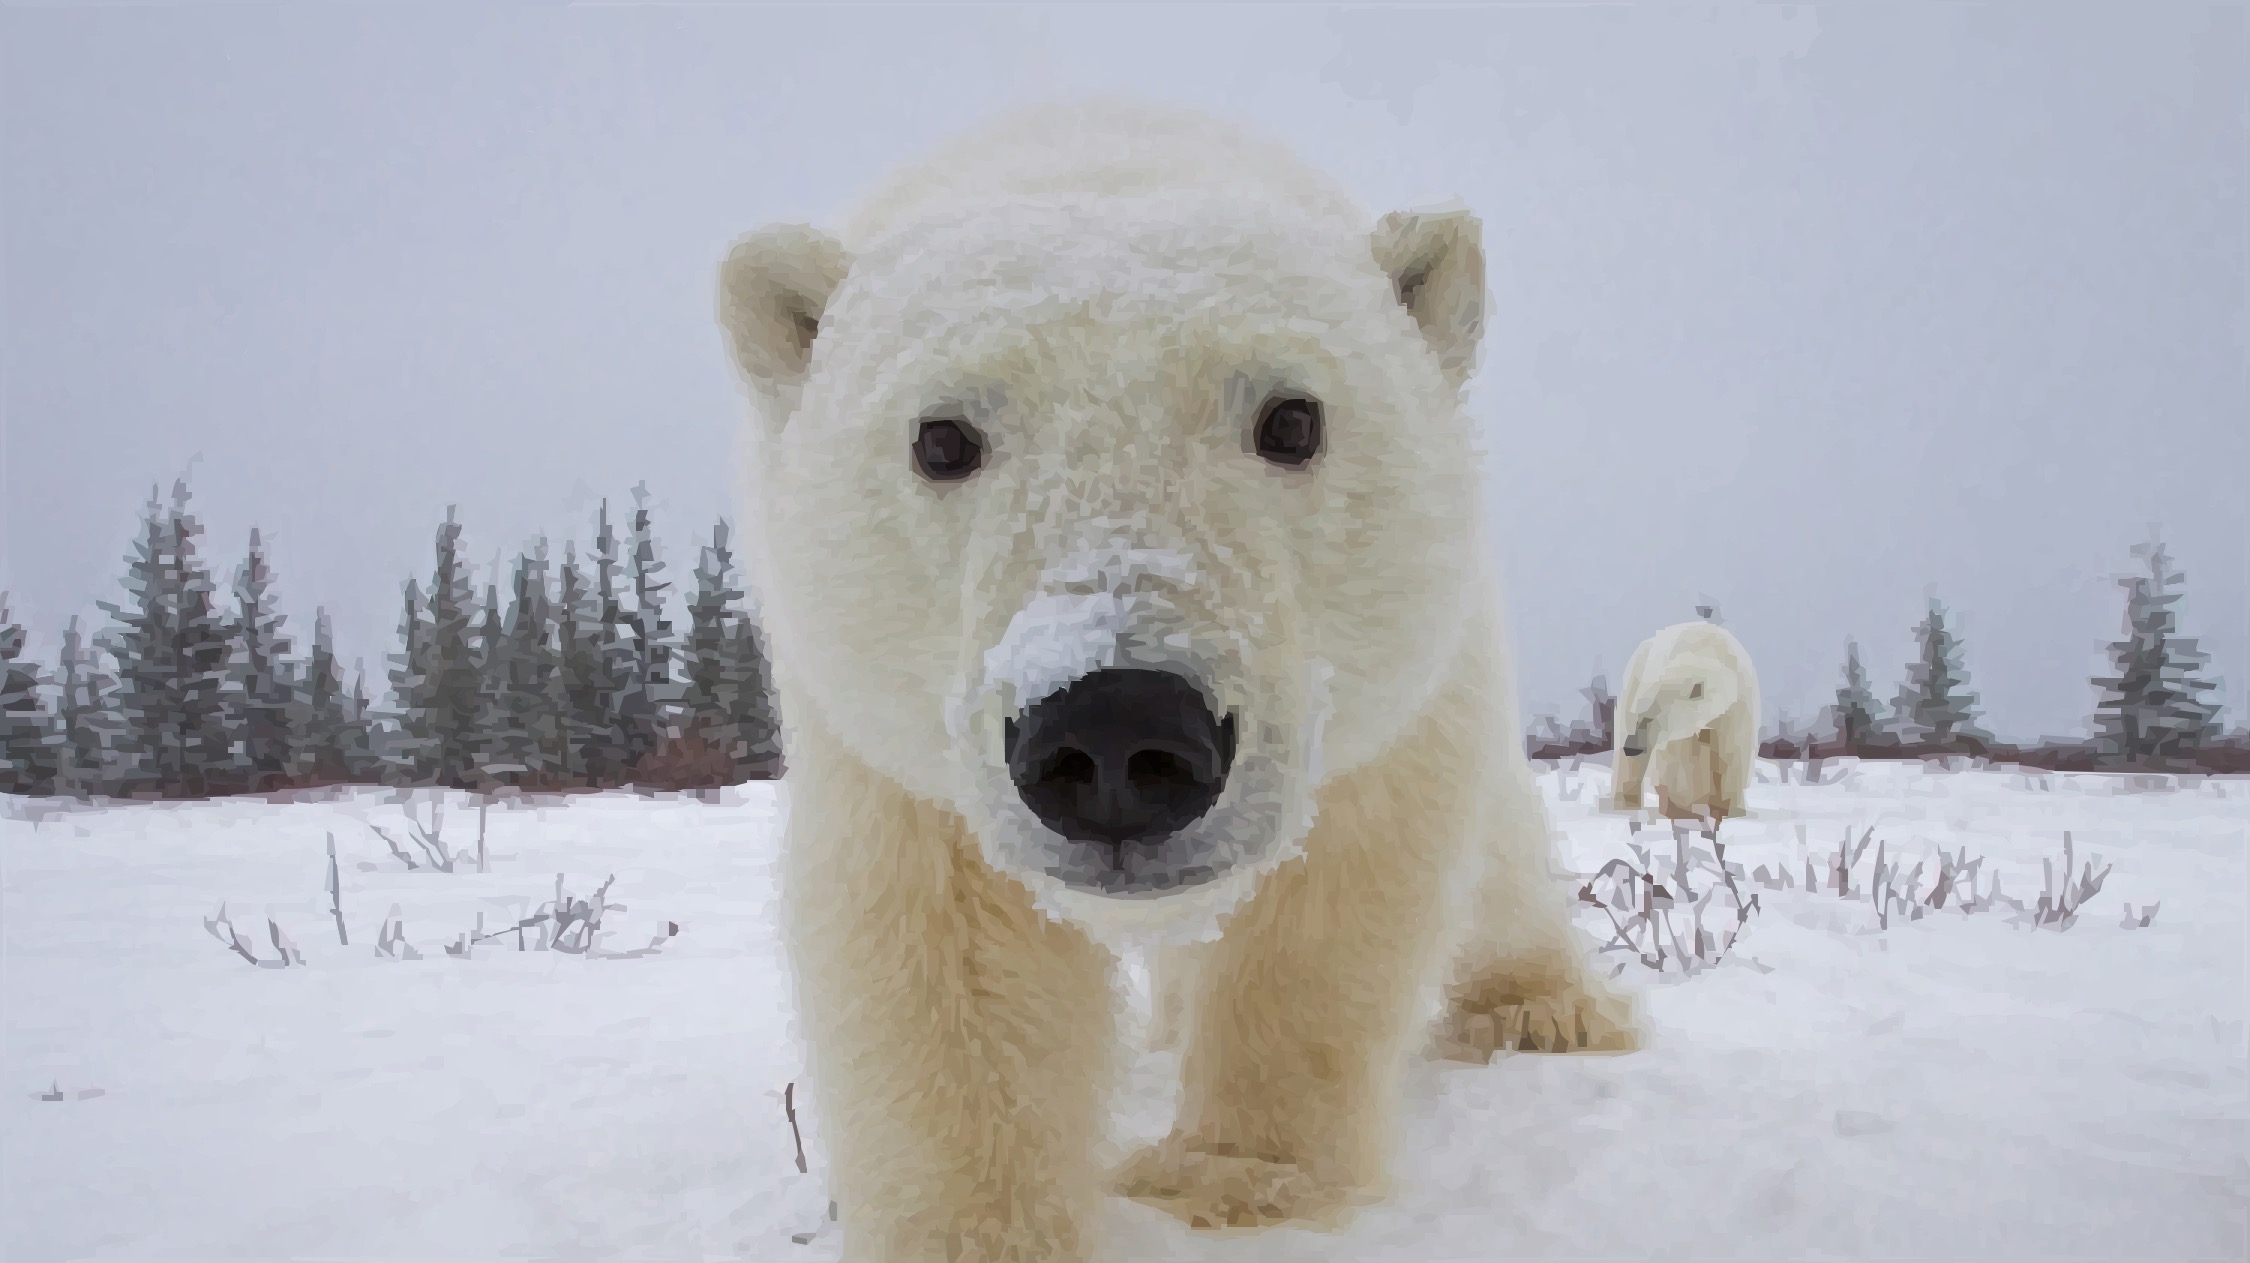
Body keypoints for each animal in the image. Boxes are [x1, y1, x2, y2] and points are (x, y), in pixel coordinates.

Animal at [714, 98, 1641, 1263]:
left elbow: (1332, 902)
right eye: (941, 437)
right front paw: (981, 1228)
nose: (1117, 732)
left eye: (1293, 418)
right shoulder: (885, 737)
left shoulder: (1381, 705)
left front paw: (1231, 1181)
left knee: (1503, 857)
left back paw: (1543, 1010)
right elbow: (942, 951)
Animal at [1609, 620, 1762, 821]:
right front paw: (1682, 810)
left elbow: (1732, 753)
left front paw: (1730, 813)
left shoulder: (1739, 703)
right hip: (1634, 678)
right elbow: (1679, 763)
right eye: (1641, 716)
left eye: (1650, 718)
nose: (1632, 747)